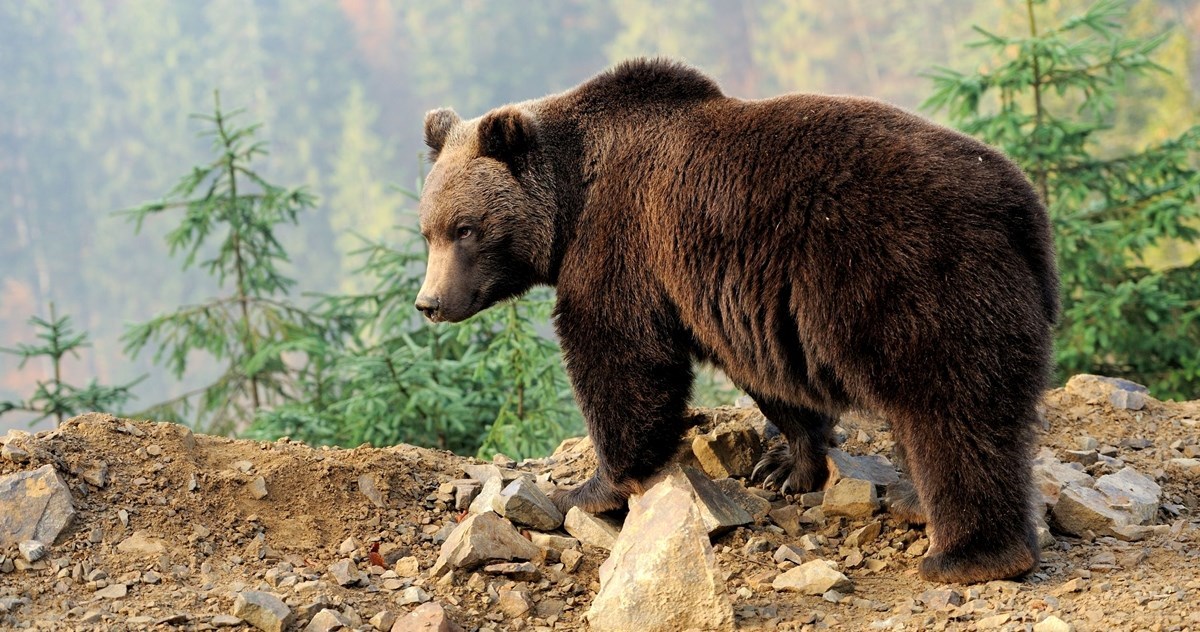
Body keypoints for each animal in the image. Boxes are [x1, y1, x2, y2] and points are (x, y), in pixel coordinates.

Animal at [415, 56, 1060, 585]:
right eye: (429, 230)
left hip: (913, 278)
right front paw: (786, 466)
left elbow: (619, 355)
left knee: (951, 412)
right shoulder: (733, 297)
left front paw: (591, 489)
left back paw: (967, 554)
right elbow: (766, 376)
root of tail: (1020, 205)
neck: (573, 198)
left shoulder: (623, 240)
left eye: (466, 228)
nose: (430, 302)